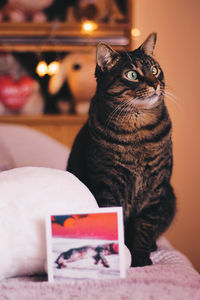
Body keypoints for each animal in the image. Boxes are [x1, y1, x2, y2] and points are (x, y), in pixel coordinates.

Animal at [67, 33, 175, 268]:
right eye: (132, 75)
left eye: (155, 70)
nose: (155, 84)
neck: (137, 131)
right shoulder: (108, 185)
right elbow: (118, 223)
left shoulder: (156, 186)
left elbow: (145, 226)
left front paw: (141, 257)